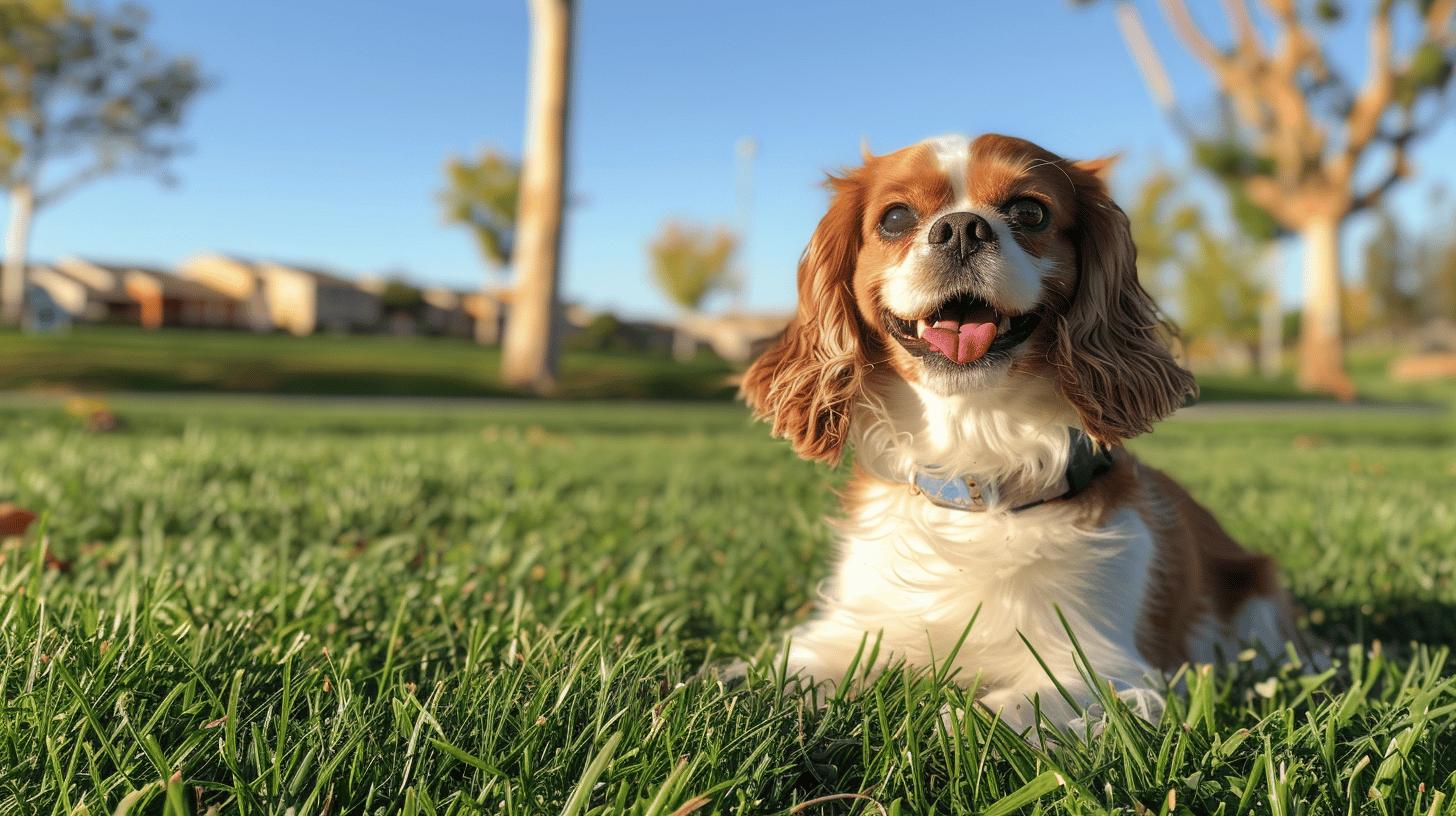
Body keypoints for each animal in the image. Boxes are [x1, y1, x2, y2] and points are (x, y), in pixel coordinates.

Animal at [745, 134, 1304, 734]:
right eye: (895, 219)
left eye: (1030, 212)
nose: (961, 228)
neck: (976, 455)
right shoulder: (851, 629)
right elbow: (776, 679)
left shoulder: (1102, 665)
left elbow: (1004, 713)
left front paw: (953, 725)